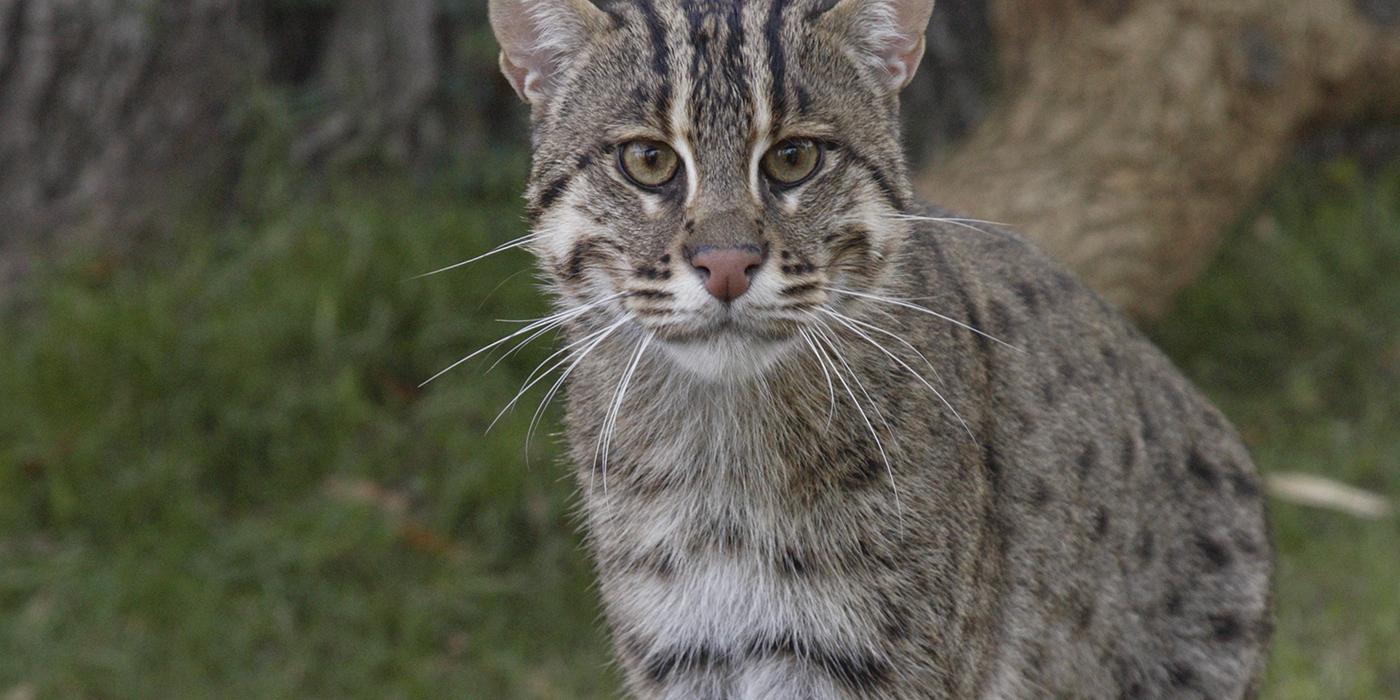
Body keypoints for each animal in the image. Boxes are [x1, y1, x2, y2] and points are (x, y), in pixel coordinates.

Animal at [478, 0, 1271, 697]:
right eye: (647, 160)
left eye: (794, 158)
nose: (728, 265)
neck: (724, 444)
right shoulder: (682, 652)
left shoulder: (866, 659)